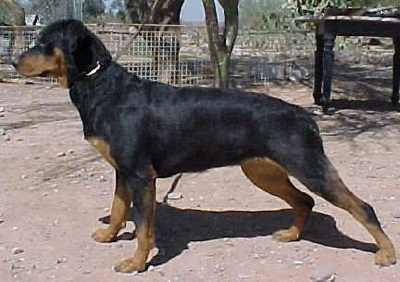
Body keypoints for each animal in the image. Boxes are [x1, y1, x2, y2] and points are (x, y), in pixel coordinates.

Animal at [11, 18, 394, 272]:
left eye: (44, 41)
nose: (13, 61)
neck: (102, 86)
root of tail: (303, 114)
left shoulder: (141, 175)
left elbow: (144, 227)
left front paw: (136, 263)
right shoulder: (123, 172)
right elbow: (120, 209)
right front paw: (108, 235)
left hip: (308, 167)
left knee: (362, 207)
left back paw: (387, 253)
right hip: (263, 171)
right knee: (305, 200)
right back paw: (292, 234)